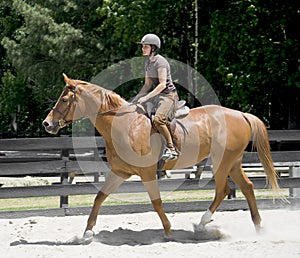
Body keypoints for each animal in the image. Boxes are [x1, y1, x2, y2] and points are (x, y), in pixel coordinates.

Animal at [42, 72, 282, 238]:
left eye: (65, 100)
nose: (47, 123)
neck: (124, 125)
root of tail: (240, 114)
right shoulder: (120, 172)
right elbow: (100, 196)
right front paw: (88, 232)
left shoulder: (147, 173)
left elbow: (156, 202)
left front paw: (167, 230)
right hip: (232, 162)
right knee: (247, 187)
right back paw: (258, 227)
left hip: (222, 162)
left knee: (223, 190)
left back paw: (201, 224)